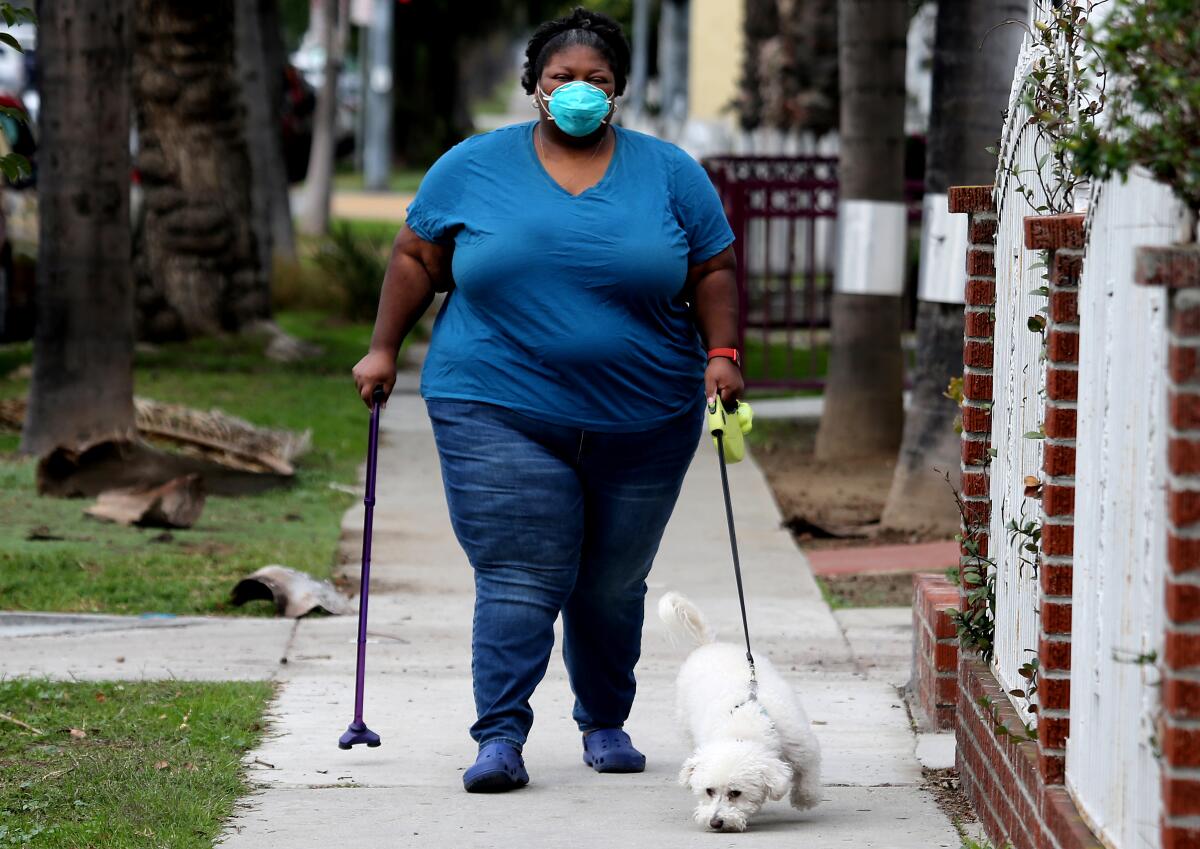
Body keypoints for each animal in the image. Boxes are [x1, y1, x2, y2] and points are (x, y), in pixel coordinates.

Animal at [657, 589, 825, 829]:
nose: (715, 822)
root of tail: (707, 645)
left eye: (735, 793)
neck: (743, 725)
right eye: (709, 791)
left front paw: (805, 798)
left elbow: (808, 772)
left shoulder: (802, 747)